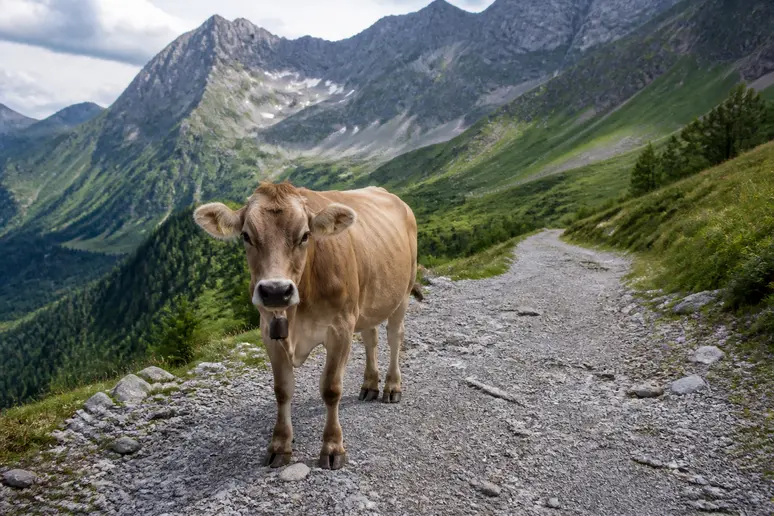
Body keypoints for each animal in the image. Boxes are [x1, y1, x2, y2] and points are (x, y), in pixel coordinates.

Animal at [193, 181, 422, 470]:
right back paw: (370, 385)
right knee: (371, 338)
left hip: (402, 291)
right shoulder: (269, 332)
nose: (275, 291)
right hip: (366, 303)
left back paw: (392, 387)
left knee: (394, 337)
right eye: (246, 235)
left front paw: (333, 447)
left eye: (305, 235)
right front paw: (279, 445)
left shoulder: (340, 329)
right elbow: (282, 390)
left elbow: (331, 389)